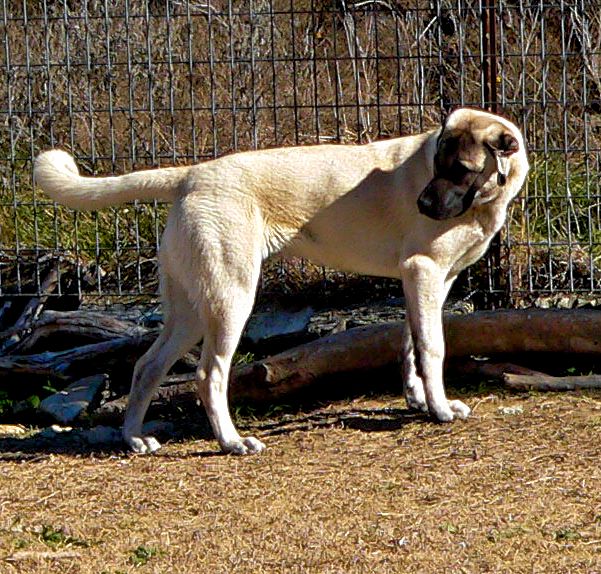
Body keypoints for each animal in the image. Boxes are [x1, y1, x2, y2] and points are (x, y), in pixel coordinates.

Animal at [35, 109, 528, 454]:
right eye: (437, 164)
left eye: (460, 168)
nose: (423, 205)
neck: (486, 200)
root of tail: (192, 175)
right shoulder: (423, 272)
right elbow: (433, 347)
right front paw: (441, 409)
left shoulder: (431, 283)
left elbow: (410, 345)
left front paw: (419, 401)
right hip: (231, 301)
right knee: (209, 375)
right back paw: (231, 442)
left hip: (191, 311)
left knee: (146, 366)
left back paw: (135, 439)